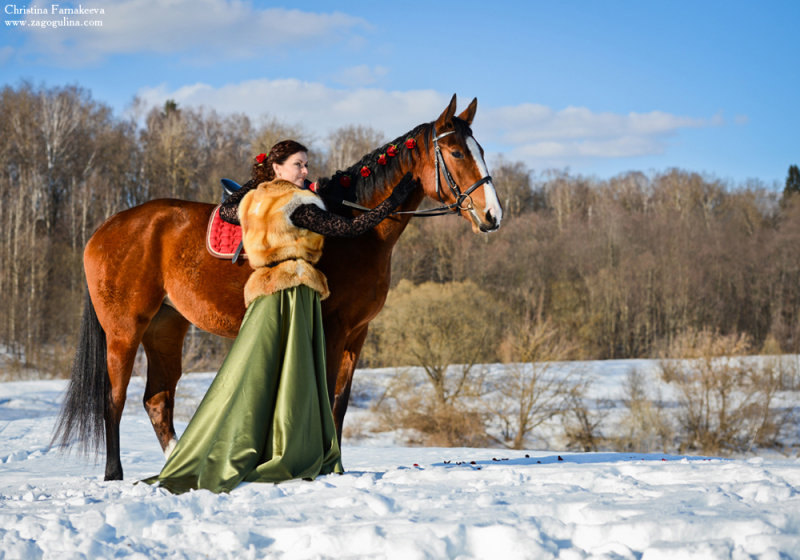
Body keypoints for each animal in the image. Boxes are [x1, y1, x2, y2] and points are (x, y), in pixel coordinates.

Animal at [54, 94, 506, 480]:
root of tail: (105, 229)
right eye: (457, 153)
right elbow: (326, 394)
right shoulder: (334, 328)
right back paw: (115, 474)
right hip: (124, 330)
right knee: (114, 399)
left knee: (157, 401)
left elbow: (340, 401)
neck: (355, 230)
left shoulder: (356, 334)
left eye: (480, 150)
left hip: (165, 329)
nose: (492, 216)